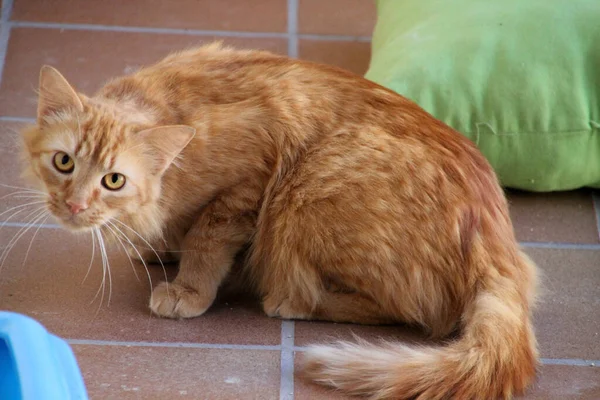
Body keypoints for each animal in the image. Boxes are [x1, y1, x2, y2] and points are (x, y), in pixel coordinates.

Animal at [22, 42, 540, 398]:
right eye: (64, 163)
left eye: (112, 180)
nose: (74, 206)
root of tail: (501, 250)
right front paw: (157, 247)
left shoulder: (247, 179)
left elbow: (206, 242)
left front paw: (189, 286)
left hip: (308, 187)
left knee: (410, 309)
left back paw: (287, 297)